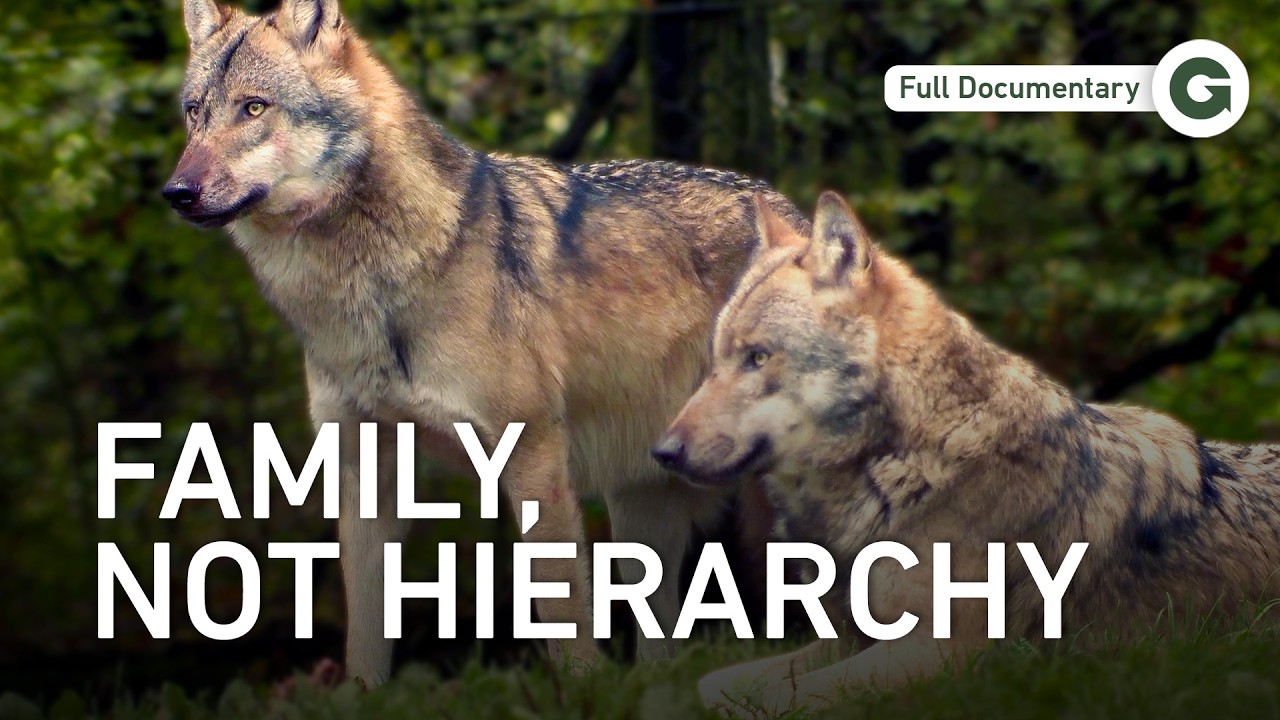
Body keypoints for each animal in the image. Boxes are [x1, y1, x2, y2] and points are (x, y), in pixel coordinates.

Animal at [163, 0, 803, 685]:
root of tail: (791, 208)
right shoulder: (364, 467)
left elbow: (562, 615)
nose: (176, 193)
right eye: (195, 111)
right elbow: (365, 632)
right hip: (640, 510)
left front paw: (584, 693)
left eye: (254, 108)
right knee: (662, 649)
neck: (369, 285)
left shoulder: (534, 455)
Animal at [654, 191, 1280, 716]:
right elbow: (711, 684)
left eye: (758, 358)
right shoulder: (854, 638)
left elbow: (772, 699)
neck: (907, 461)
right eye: (716, 360)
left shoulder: (947, 653)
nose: (662, 452)